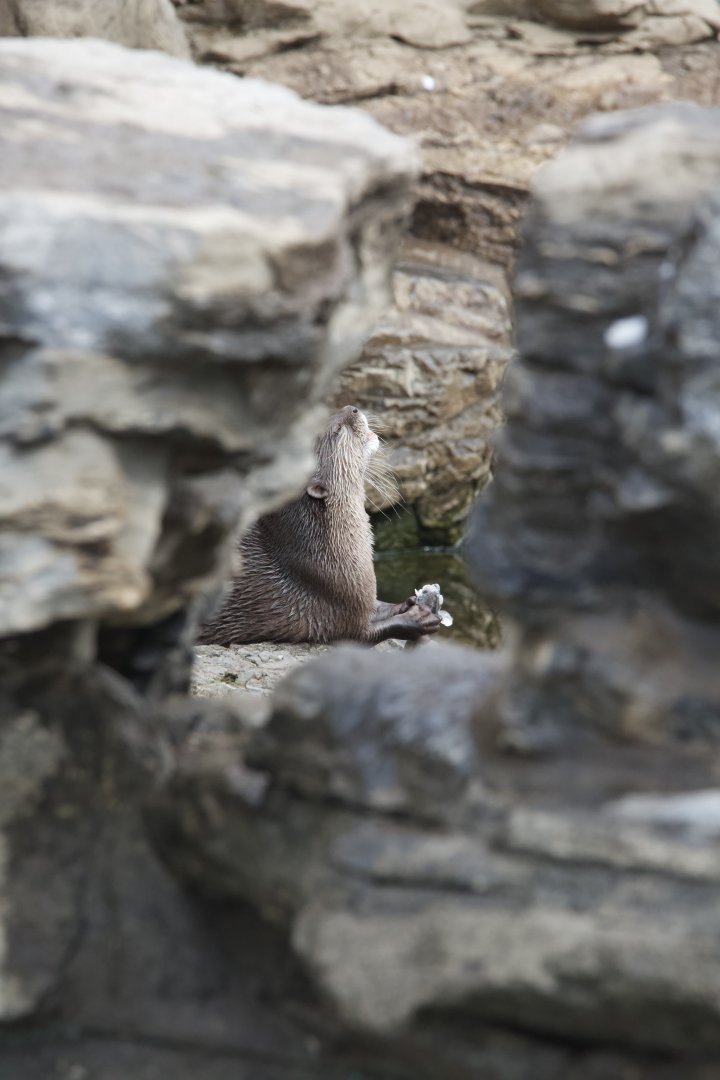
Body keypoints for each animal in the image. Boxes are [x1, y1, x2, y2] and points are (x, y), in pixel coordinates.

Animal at [198, 406, 441, 646]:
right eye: (337, 430)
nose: (353, 408)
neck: (323, 553)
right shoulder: (338, 606)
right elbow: (367, 632)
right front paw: (416, 619)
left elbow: (380, 605)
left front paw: (411, 602)